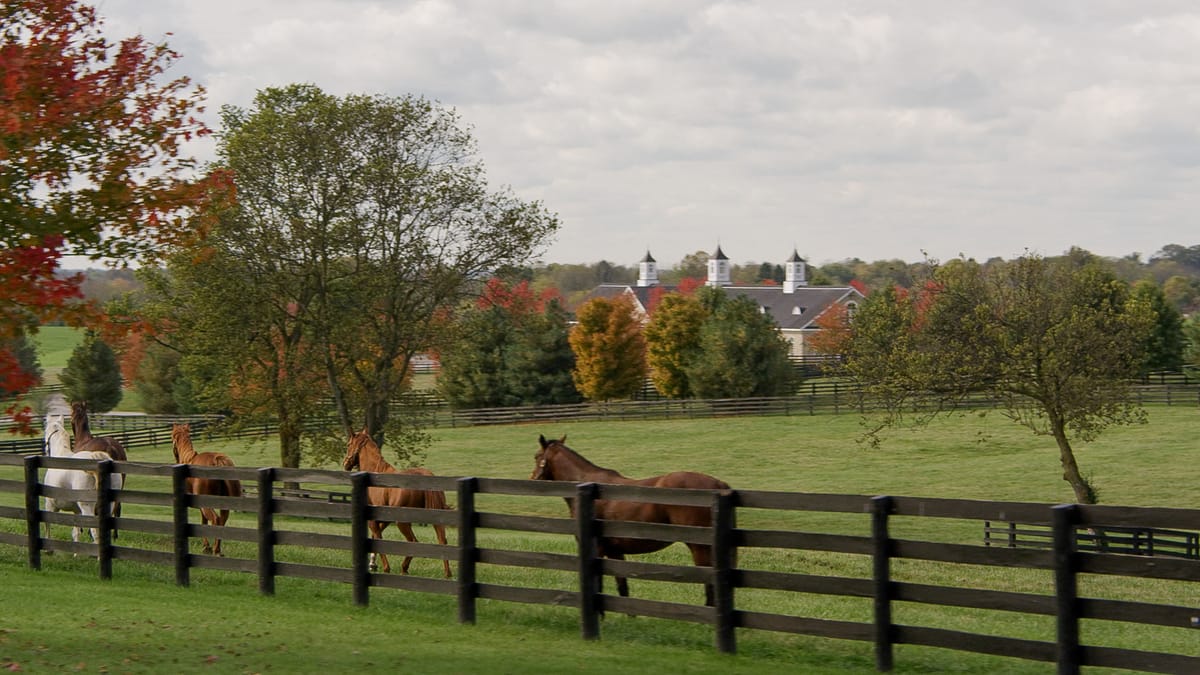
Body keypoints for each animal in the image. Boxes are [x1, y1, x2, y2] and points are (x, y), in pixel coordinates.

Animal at [41, 413, 122, 542]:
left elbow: (47, 527)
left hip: (88, 507)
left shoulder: (50, 505)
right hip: (109, 506)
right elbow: (76, 532)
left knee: (95, 533)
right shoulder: (76, 511)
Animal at [171, 422, 241, 554]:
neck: (188, 459)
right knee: (222, 520)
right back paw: (218, 549)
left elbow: (203, 522)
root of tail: (217, 461)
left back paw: (215, 550)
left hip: (207, 505)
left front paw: (206, 546)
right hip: (224, 503)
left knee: (216, 520)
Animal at [343, 427, 453, 576]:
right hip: (436, 517)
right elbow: (375, 537)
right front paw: (372, 564)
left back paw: (404, 569)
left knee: (413, 541)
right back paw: (447, 574)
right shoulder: (384, 520)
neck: (375, 473)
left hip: (403, 523)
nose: (345, 464)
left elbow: (379, 539)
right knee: (442, 540)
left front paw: (384, 568)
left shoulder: (373, 521)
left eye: (348, 444)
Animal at [532, 432, 729, 600]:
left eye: (536, 456)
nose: (533, 479)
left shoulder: (598, 550)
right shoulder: (615, 551)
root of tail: (718, 484)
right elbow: (623, 588)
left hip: (699, 547)